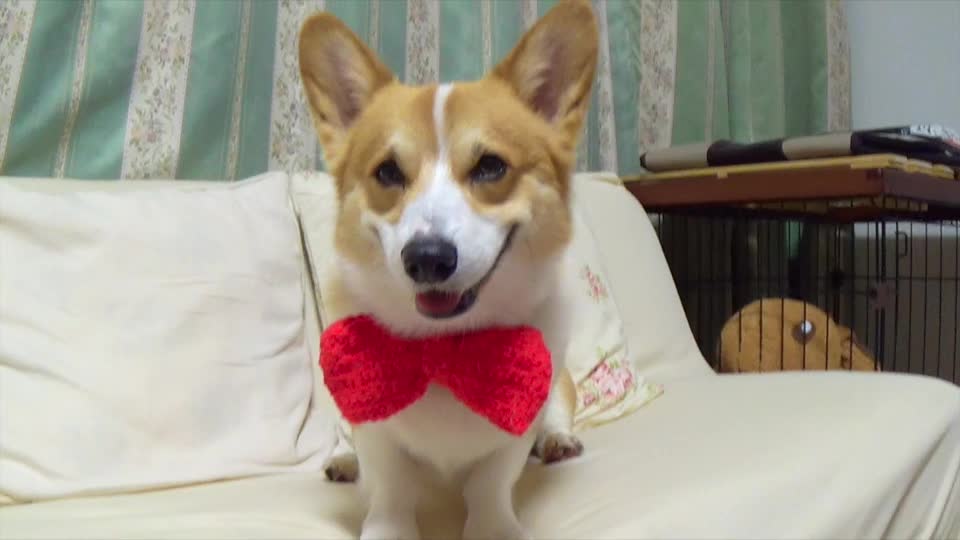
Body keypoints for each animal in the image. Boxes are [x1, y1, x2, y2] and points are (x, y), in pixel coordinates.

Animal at [300, 2, 596, 536]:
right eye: (387, 172)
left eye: (491, 166)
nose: (428, 258)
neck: (444, 348)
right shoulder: (374, 428)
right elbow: (390, 487)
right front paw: (387, 523)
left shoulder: (518, 421)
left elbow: (491, 484)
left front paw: (493, 526)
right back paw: (343, 462)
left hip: (559, 387)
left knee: (558, 416)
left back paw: (558, 442)